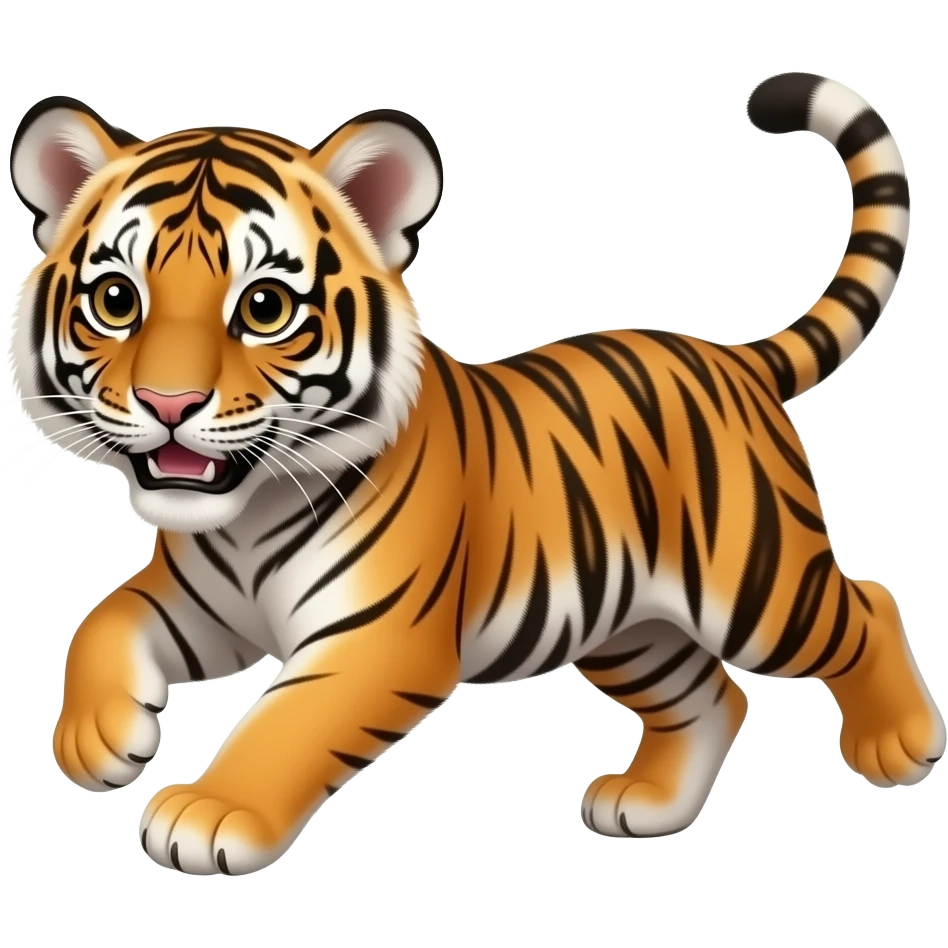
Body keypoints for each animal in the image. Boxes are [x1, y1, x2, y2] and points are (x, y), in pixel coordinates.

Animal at [8, 74, 942, 877]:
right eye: (117, 301)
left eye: (265, 308)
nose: (167, 402)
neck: (245, 514)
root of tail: (733, 357)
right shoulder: (202, 605)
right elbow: (101, 620)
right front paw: (97, 739)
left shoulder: (377, 641)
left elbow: (285, 722)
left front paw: (211, 812)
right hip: (628, 625)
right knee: (711, 695)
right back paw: (649, 804)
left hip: (756, 587)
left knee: (866, 606)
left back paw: (900, 745)